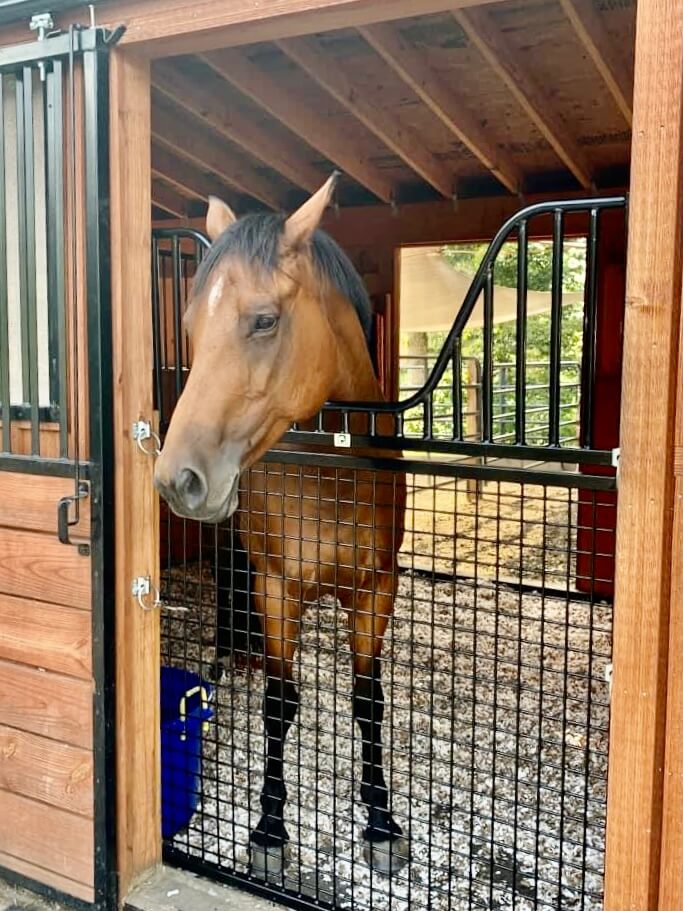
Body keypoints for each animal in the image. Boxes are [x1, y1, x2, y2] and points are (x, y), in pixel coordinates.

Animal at [156, 175, 408, 880]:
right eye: (189, 326)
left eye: (264, 320)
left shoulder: (377, 590)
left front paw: (381, 824)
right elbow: (279, 703)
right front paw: (269, 832)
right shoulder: (276, 590)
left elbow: (368, 701)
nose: (177, 478)